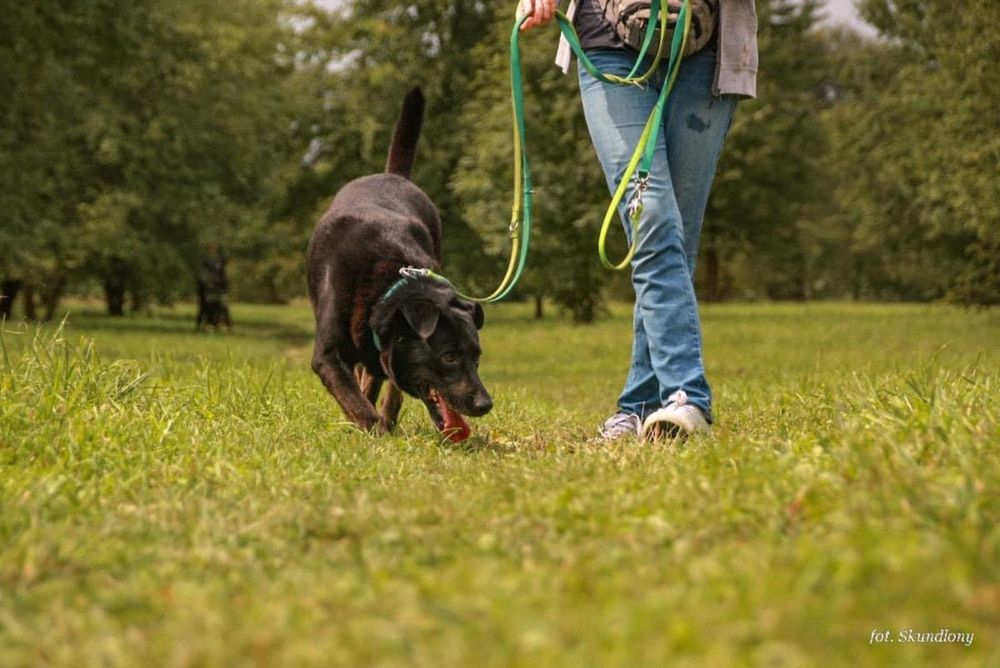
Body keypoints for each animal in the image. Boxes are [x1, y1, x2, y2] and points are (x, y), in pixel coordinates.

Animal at [304, 88, 492, 438]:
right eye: (448, 357)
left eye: (476, 358)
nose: (486, 404)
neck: (390, 286)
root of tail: (393, 175)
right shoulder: (328, 355)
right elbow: (352, 397)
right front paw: (371, 426)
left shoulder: (385, 350)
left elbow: (387, 388)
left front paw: (384, 421)